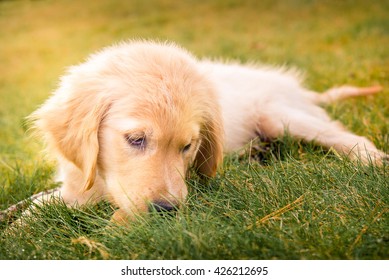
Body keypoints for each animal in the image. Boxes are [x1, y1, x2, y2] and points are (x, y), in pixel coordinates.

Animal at [29, 40, 384, 223]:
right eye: (136, 139)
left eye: (188, 147)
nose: (166, 210)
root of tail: (297, 89)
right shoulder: (77, 183)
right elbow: (40, 204)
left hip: (278, 114)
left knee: (349, 137)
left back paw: (373, 161)